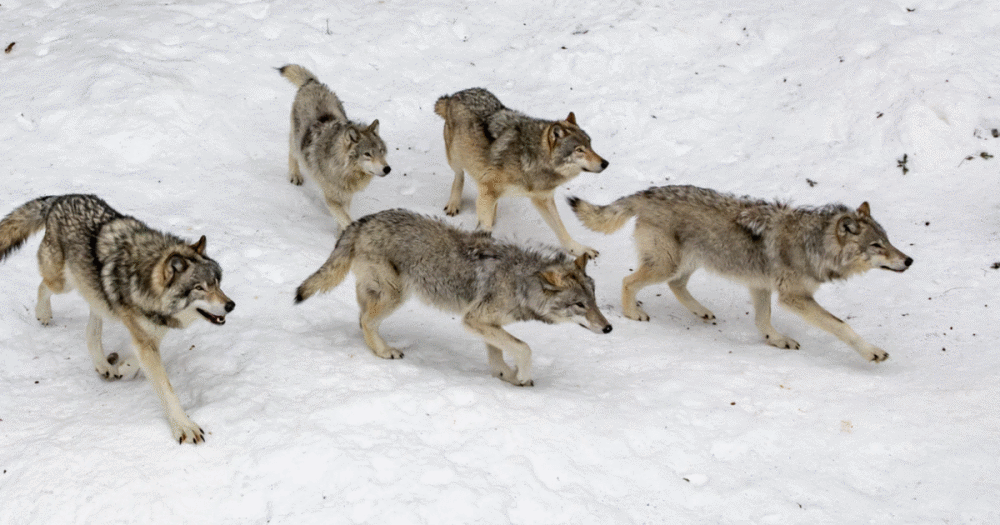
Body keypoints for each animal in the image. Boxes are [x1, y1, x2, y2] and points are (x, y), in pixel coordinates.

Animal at [0, 194, 235, 444]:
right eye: (199, 288)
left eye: (217, 283)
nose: (231, 305)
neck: (145, 282)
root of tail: (59, 199)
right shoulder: (146, 339)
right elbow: (167, 389)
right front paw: (184, 427)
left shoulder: (151, 334)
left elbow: (136, 360)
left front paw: (123, 368)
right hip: (63, 283)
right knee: (43, 286)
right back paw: (43, 314)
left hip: (95, 294)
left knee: (91, 331)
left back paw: (103, 365)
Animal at [282, 64, 394, 228]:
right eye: (367, 154)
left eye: (381, 151)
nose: (387, 169)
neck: (344, 170)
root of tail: (313, 84)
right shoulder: (332, 199)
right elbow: (346, 219)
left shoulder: (346, 197)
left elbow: (344, 217)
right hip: (296, 141)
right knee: (292, 151)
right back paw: (295, 175)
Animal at [292, 208, 612, 384]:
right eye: (579, 305)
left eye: (594, 301)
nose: (609, 328)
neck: (520, 281)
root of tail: (362, 221)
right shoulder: (474, 320)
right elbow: (524, 348)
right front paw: (521, 375)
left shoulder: (487, 324)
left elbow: (498, 353)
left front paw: (506, 376)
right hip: (396, 295)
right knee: (366, 321)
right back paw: (384, 351)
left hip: (382, 293)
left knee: (361, 317)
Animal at [434, 88, 604, 258]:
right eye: (579, 150)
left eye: (590, 145)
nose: (605, 163)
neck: (530, 159)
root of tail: (456, 94)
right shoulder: (488, 189)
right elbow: (485, 226)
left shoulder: (543, 198)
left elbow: (562, 231)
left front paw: (579, 250)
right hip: (456, 157)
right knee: (459, 176)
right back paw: (453, 204)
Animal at [568, 186, 912, 362]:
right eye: (877, 245)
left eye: (888, 240)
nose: (909, 260)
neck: (813, 244)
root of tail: (648, 192)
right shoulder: (794, 298)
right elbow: (842, 326)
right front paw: (872, 352)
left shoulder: (761, 286)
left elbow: (763, 321)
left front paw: (776, 340)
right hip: (667, 263)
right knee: (629, 281)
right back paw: (632, 314)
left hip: (689, 262)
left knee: (676, 285)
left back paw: (702, 312)